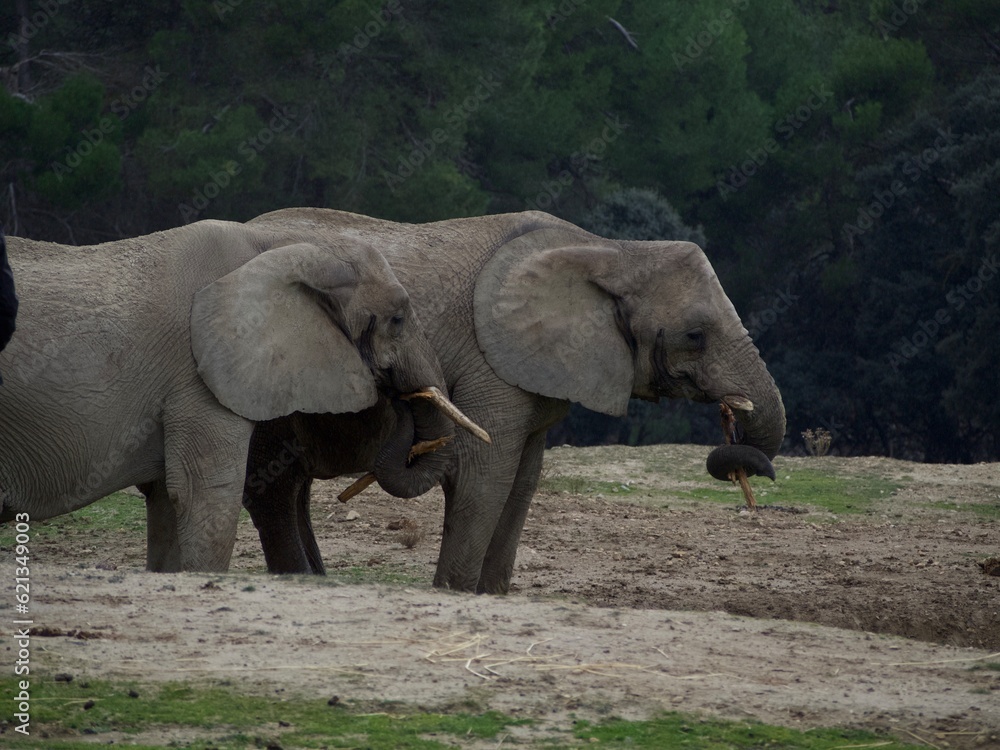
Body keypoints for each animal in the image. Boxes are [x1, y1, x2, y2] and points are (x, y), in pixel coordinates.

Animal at [0, 220, 478, 572]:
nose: (396, 393)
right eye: (397, 319)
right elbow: (205, 494)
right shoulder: (202, 377)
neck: (284, 246)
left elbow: (167, 501)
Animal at [244, 210, 788, 592]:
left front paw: (490, 595)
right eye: (695, 335)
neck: (611, 250)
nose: (732, 424)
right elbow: (486, 473)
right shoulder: (492, 365)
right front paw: (454, 592)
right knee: (273, 487)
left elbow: (522, 481)